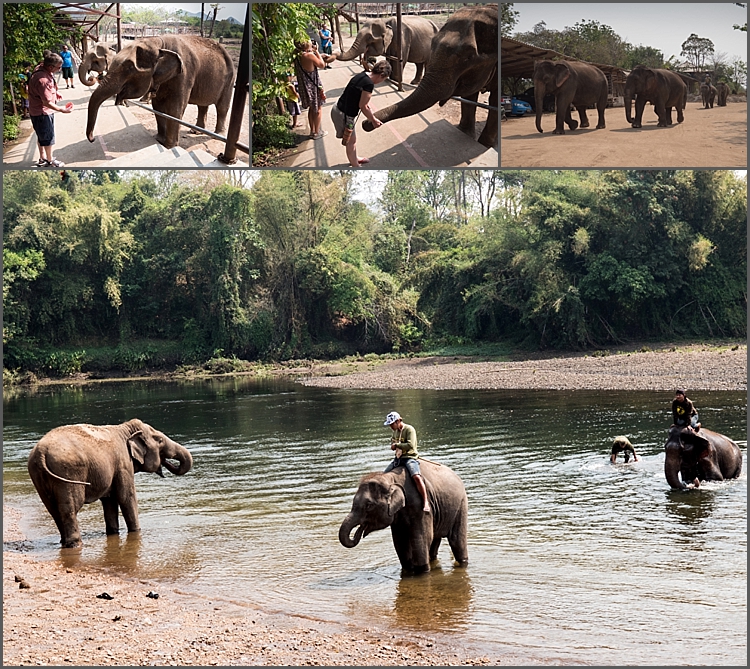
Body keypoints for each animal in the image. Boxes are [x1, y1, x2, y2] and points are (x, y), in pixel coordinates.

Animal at [27, 419, 193, 548]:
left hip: (38, 476)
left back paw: (64, 542)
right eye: (160, 441)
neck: (125, 429)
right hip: (67, 471)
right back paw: (75, 544)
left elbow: (110, 501)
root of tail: (41, 452)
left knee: (52, 509)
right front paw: (137, 531)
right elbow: (126, 497)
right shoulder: (123, 464)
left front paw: (113, 533)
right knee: (70, 507)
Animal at [86, 35, 235, 149]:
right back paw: (195, 131)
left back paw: (219, 135)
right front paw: (159, 140)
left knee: (222, 107)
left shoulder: (184, 74)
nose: (93, 139)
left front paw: (169, 146)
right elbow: (158, 107)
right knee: (202, 105)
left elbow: (175, 108)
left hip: (230, 79)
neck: (158, 42)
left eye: (129, 68)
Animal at [338, 460, 468, 573]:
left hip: (461, 504)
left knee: (456, 540)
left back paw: (462, 563)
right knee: (435, 540)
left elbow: (421, 538)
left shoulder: (420, 506)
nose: (359, 531)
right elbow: (399, 540)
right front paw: (409, 571)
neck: (391, 478)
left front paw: (422, 572)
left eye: (369, 505)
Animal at [362, 4, 498, 148]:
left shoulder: (403, 38)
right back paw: (414, 82)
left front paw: (486, 145)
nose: (365, 123)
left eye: (469, 58)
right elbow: (470, 95)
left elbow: (494, 101)